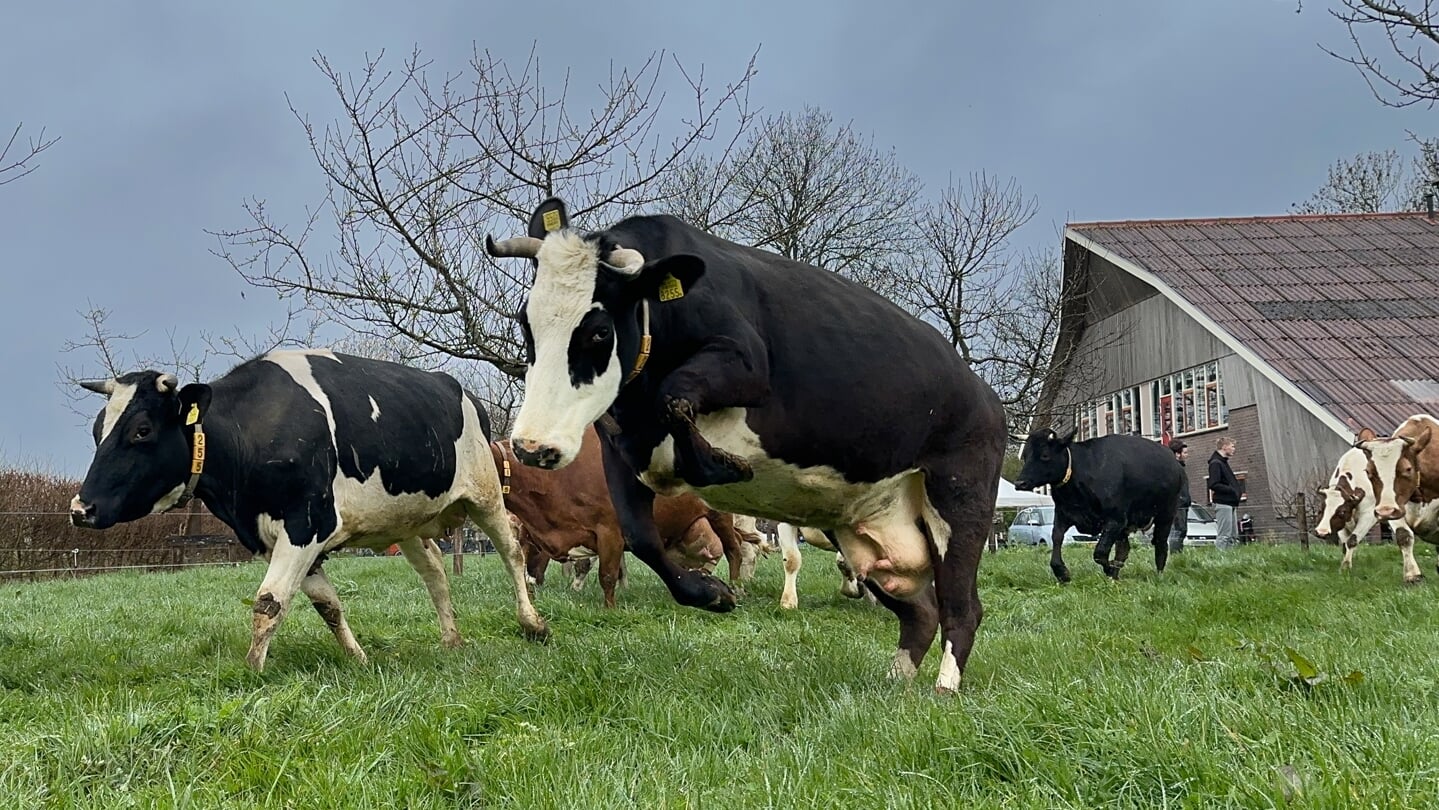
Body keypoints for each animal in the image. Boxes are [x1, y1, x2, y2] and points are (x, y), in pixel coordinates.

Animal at [70, 348, 546, 673]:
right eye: (96, 430)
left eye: (142, 430)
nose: (80, 507)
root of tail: (459, 389)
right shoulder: (284, 539)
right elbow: (327, 606)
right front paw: (358, 659)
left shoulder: (307, 524)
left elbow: (269, 602)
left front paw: (252, 672)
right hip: (407, 521)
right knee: (435, 572)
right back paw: (451, 639)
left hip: (485, 493)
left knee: (511, 551)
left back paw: (532, 623)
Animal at [483, 199, 1001, 693]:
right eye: (526, 325)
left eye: (598, 331)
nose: (531, 445)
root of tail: (983, 392)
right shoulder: (620, 451)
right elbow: (643, 538)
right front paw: (712, 594)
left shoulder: (746, 362)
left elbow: (675, 396)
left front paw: (718, 465)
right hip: (860, 525)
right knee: (921, 610)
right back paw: (897, 680)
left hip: (960, 497)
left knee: (961, 606)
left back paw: (944, 688)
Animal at [1013, 431, 1179, 584]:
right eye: (1025, 456)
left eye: (1045, 455)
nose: (1020, 483)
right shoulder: (1064, 514)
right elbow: (1056, 538)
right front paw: (1062, 572)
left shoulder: (1115, 520)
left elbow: (1099, 552)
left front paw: (1109, 568)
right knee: (1123, 549)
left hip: (1166, 515)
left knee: (1161, 545)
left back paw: (1158, 576)